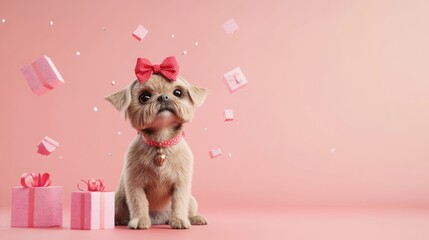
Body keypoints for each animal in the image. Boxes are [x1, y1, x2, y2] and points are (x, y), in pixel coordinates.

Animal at [106, 55, 208, 229]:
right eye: (144, 97)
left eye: (178, 92)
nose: (163, 96)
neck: (161, 142)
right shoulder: (135, 183)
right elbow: (138, 202)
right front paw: (140, 220)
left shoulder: (181, 184)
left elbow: (179, 202)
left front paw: (179, 220)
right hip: (117, 201)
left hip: (192, 200)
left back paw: (194, 218)